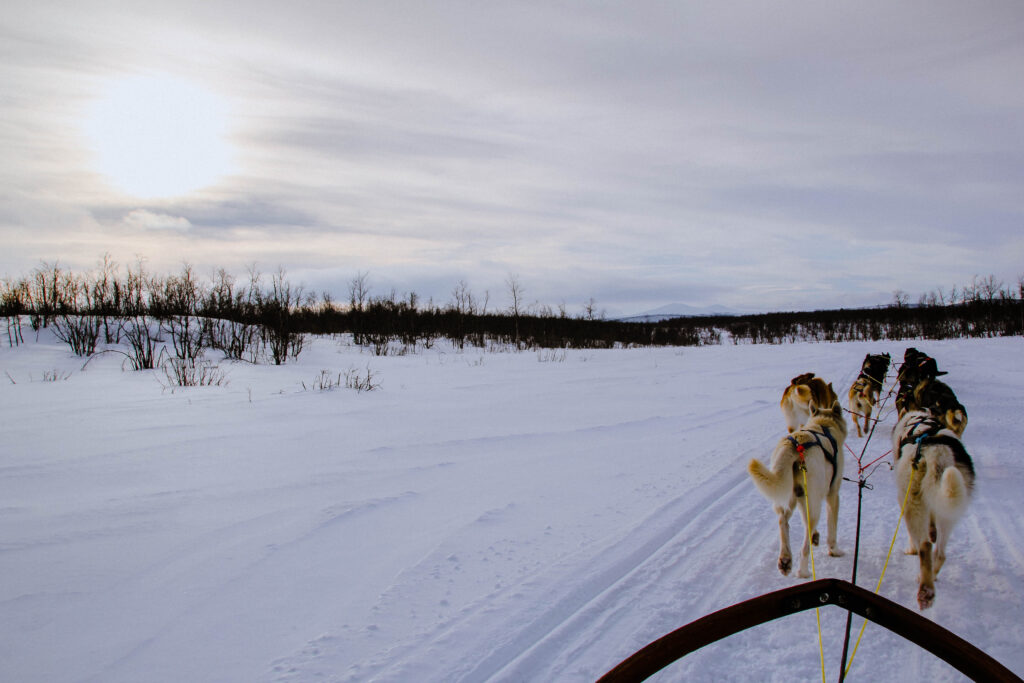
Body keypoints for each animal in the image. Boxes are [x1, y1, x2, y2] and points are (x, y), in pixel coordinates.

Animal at [753, 397, 847, 581]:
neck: (823, 424)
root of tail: (796, 445)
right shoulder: (833, 494)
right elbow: (832, 528)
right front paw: (834, 550)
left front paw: (817, 537)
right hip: (812, 504)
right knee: (804, 544)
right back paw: (802, 571)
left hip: (790, 498)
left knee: (782, 520)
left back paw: (785, 560)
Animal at [888, 411, 974, 610]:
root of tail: (938, 450)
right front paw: (932, 530)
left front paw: (911, 548)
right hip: (949, 509)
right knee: (940, 554)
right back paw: (930, 579)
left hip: (912, 503)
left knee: (925, 546)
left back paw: (925, 589)